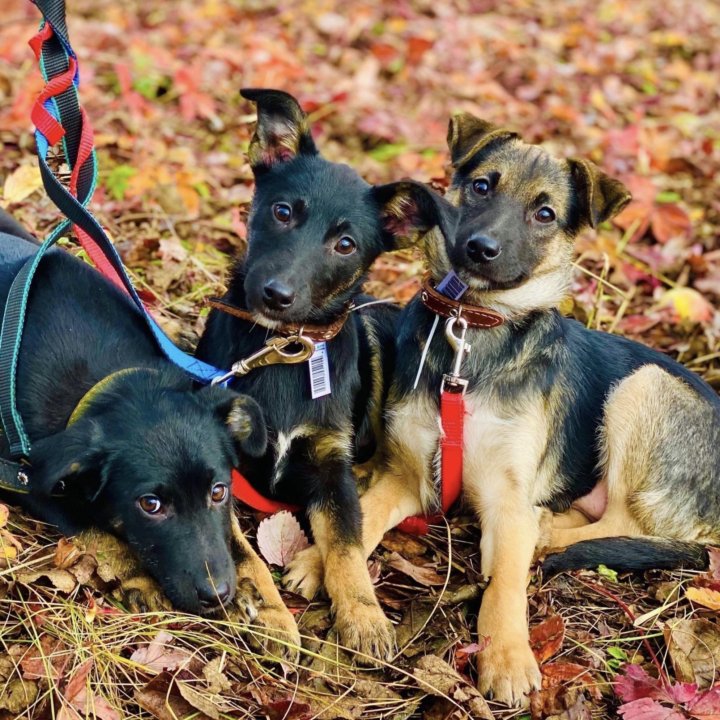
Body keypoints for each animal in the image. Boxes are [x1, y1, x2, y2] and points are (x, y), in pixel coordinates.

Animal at [0, 215, 298, 652]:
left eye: (219, 492)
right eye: (150, 505)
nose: (218, 596)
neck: (119, 377)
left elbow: (242, 546)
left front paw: (273, 608)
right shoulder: (29, 477)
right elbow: (96, 530)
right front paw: (139, 577)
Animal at [195, 88, 456, 660]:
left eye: (345, 245)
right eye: (282, 211)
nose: (276, 295)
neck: (284, 351)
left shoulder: (330, 461)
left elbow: (346, 541)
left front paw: (363, 614)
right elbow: (240, 551)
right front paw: (271, 613)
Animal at [334, 116, 720, 704]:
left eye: (545, 214)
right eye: (481, 186)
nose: (480, 248)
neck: (473, 331)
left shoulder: (507, 497)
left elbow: (507, 585)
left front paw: (508, 658)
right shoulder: (410, 476)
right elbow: (366, 514)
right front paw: (322, 569)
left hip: (644, 387)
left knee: (620, 521)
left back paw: (547, 530)